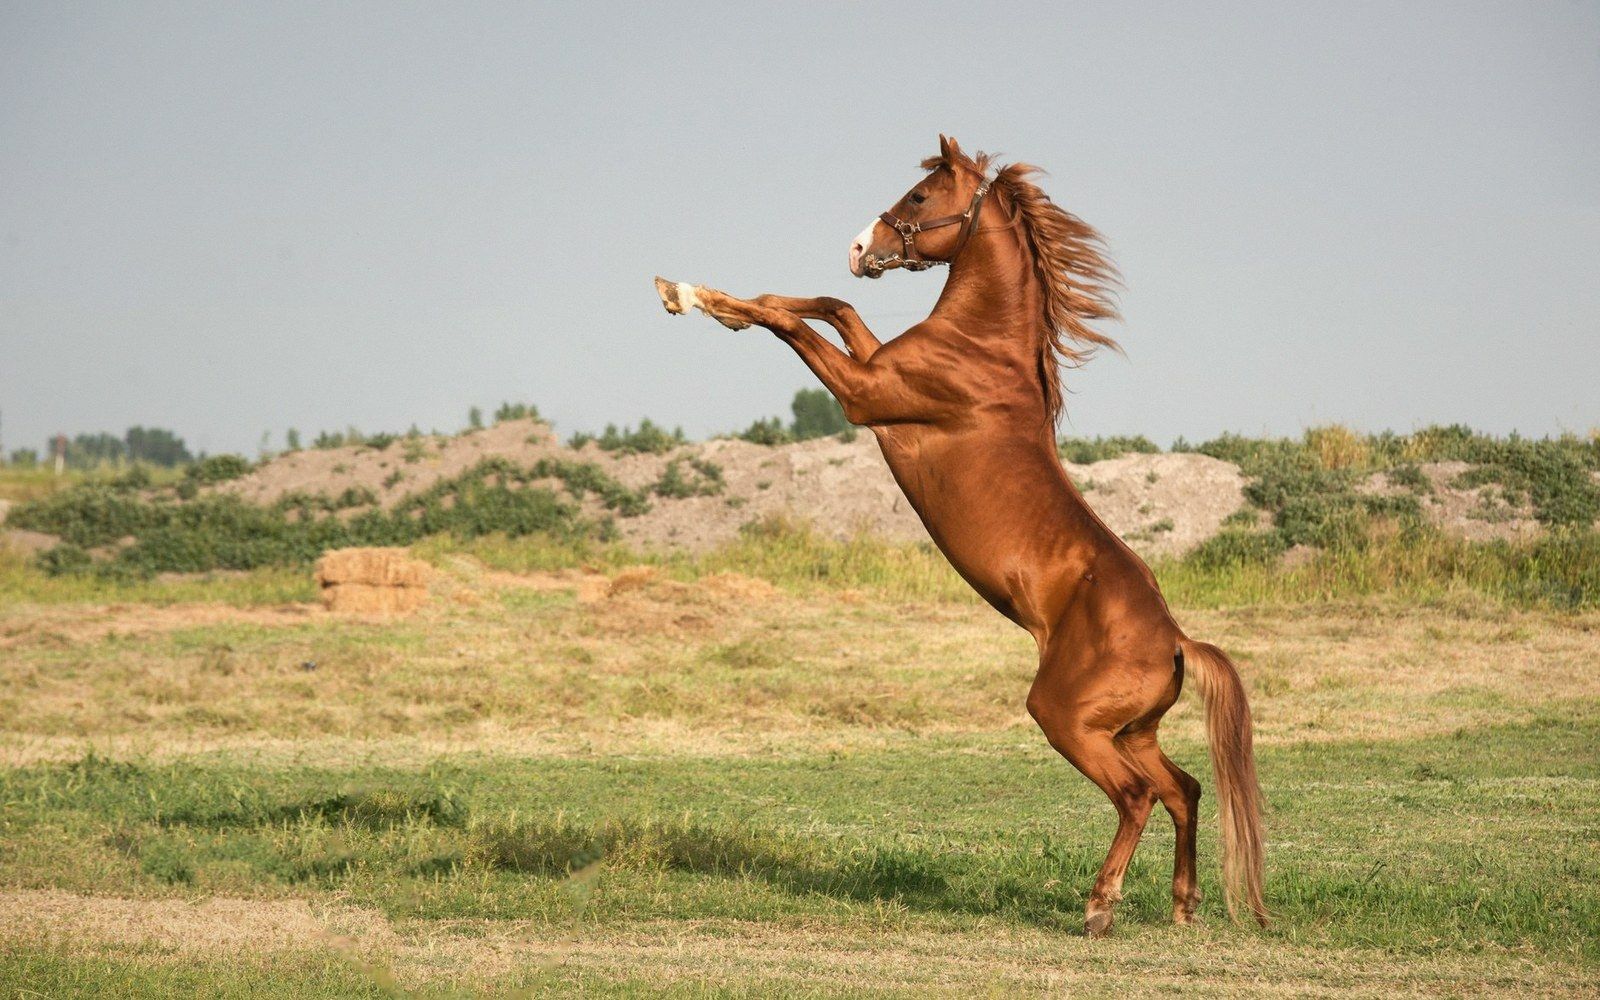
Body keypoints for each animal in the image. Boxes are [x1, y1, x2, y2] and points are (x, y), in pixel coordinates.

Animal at [654, 134, 1266, 936]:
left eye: (919, 198)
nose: (860, 247)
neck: (981, 350)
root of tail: (1176, 643)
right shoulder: (872, 365)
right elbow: (829, 305)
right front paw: (699, 295)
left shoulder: (865, 395)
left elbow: (802, 323)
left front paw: (692, 297)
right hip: (1131, 732)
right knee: (1184, 788)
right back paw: (1184, 905)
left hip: (1068, 722)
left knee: (1137, 796)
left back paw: (1099, 907)